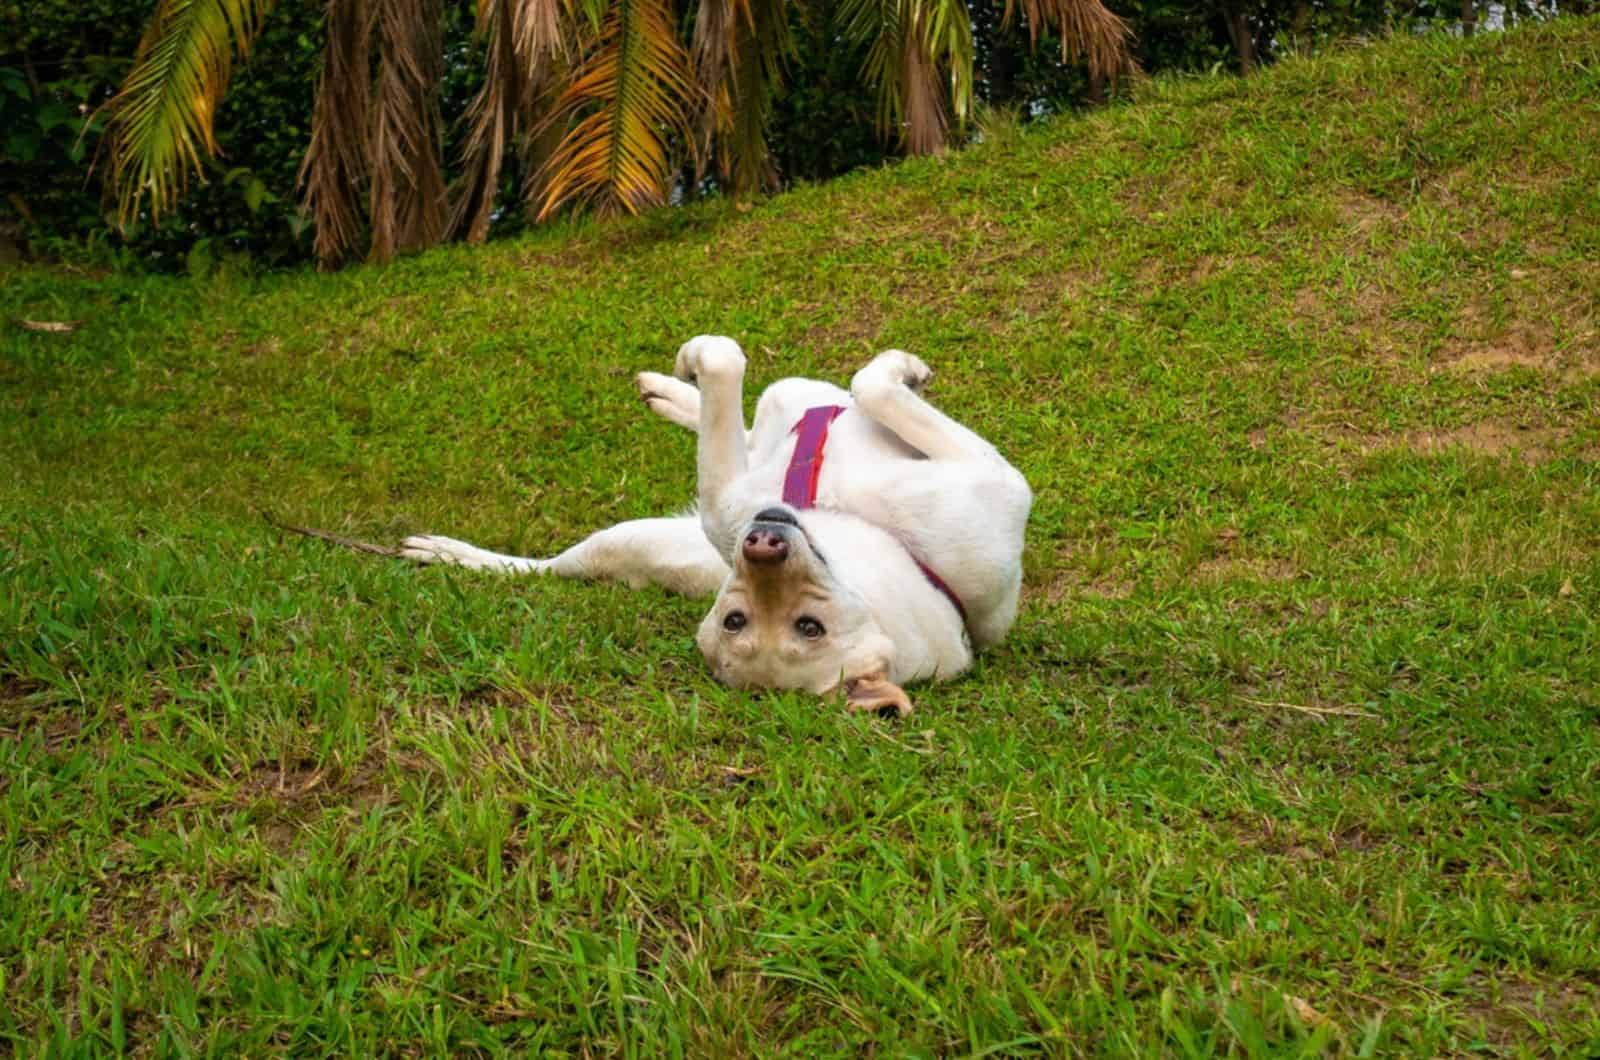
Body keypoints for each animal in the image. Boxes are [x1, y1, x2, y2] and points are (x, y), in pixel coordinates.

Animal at [393, 337, 1030, 723]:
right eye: (735, 619)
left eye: (809, 628)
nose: (761, 541)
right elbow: (846, 388)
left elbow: (857, 386)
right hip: (643, 537)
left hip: (653, 540)